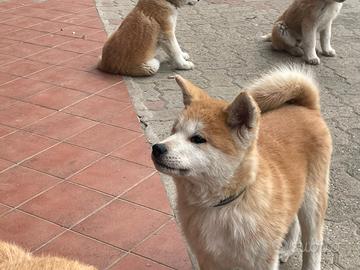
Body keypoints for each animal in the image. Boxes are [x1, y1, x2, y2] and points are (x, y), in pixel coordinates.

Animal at [151, 66, 332, 270]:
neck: (223, 205)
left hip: (312, 201)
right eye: (174, 131)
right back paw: (286, 249)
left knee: (313, 245)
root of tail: (305, 108)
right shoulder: (207, 258)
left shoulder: (262, 260)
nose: (157, 148)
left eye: (197, 139)